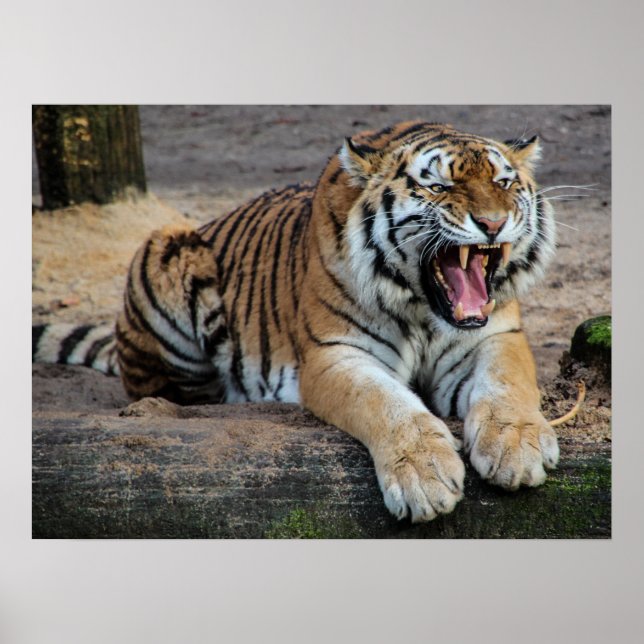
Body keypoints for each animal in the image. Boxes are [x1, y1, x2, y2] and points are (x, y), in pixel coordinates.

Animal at [33, 120, 560, 523]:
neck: (422, 308)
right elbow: (388, 404)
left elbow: (508, 384)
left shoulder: (496, 336)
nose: (493, 223)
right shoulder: (335, 354)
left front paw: (516, 448)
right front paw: (424, 476)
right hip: (166, 245)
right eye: (439, 186)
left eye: (504, 183)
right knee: (170, 391)